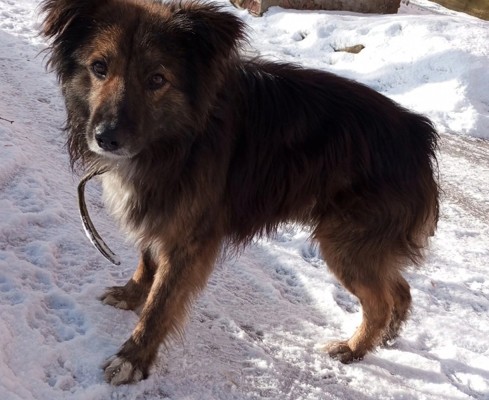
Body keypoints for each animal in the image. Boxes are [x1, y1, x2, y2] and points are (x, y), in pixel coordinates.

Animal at [41, 0, 439, 385]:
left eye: (157, 79)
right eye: (99, 67)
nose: (107, 138)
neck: (180, 137)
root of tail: (417, 132)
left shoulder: (188, 239)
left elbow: (162, 303)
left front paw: (133, 359)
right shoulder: (161, 214)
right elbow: (147, 262)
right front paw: (130, 294)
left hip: (347, 244)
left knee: (380, 302)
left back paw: (354, 348)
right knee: (400, 289)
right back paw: (386, 337)